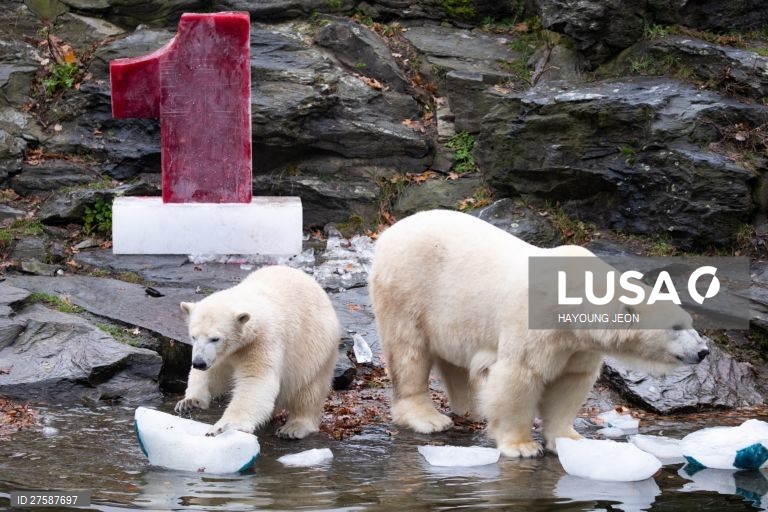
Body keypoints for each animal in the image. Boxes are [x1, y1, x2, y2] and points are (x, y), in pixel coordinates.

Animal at [175, 265, 340, 439]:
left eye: (215, 338)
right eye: (193, 336)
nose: (199, 362)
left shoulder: (262, 341)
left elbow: (255, 380)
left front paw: (224, 426)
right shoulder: (222, 355)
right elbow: (212, 374)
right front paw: (189, 402)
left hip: (315, 349)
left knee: (309, 391)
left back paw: (293, 428)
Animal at [369, 209, 709, 457]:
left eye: (689, 321)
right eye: (676, 327)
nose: (703, 351)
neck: (577, 293)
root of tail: (388, 232)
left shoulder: (578, 345)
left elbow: (569, 382)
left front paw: (571, 441)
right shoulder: (537, 322)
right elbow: (521, 375)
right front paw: (522, 447)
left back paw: (472, 408)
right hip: (409, 287)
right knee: (408, 351)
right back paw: (427, 417)